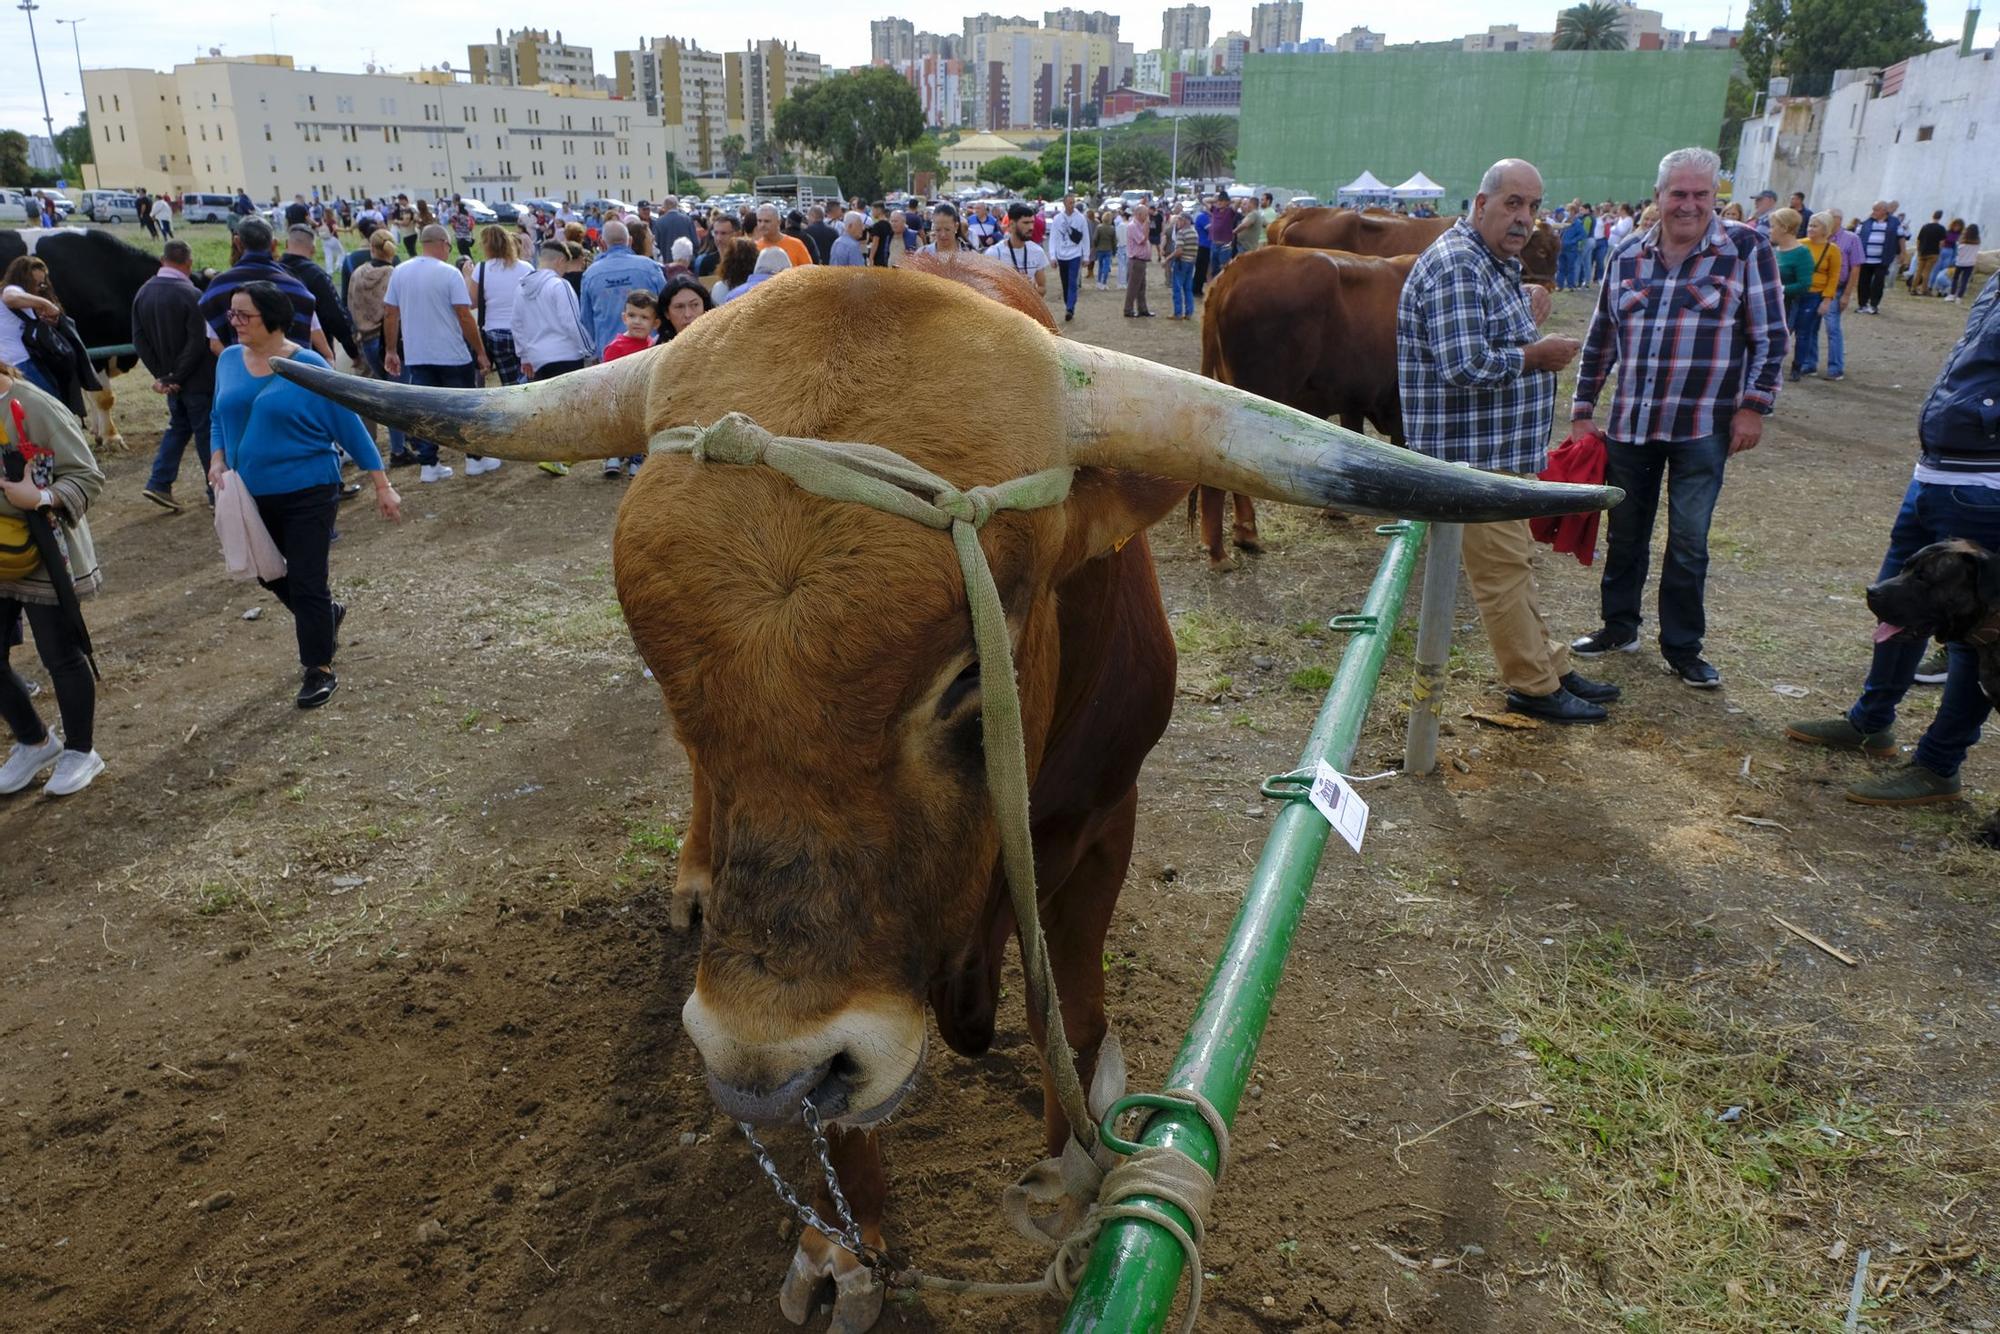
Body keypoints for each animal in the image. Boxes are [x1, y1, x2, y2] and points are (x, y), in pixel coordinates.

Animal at [274, 260, 1608, 1334]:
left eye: (969, 673)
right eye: (661, 666)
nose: (756, 1065)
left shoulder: (1103, 821)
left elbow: (1074, 1010)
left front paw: (1071, 1174)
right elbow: (847, 1120)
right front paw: (845, 1249)